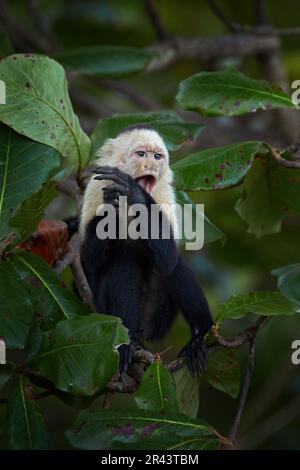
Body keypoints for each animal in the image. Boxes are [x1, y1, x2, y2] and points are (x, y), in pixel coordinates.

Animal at [78, 124, 213, 374]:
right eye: (141, 154)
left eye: (157, 156)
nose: (152, 164)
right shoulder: (95, 187)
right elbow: (89, 259)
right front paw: (113, 208)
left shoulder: (164, 195)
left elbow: (169, 258)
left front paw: (134, 194)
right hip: (103, 308)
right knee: (124, 259)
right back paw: (127, 343)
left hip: (158, 318)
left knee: (172, 265)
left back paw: (201, 335)